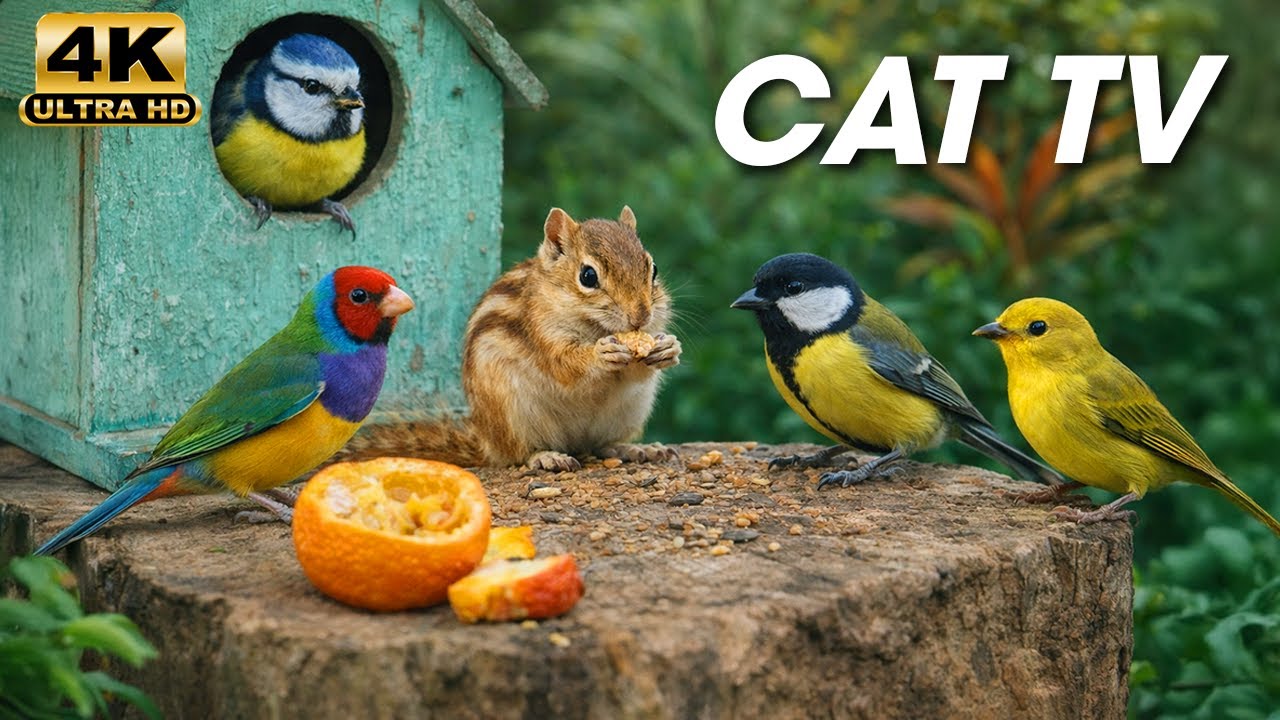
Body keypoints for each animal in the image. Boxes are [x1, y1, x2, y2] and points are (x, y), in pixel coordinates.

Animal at [342, 206, 681, 471]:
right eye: (588, 276)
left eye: (653, 269)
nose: (641, 316)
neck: (597, 328)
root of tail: (487, 440)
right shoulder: (543, 332)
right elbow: (564, 365)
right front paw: (600, 354)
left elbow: (638, 369)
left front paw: (668, 348)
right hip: (514, 415)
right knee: (517, 454)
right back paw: (546, 457)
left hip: (628, 411)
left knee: (600, 445)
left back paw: (636, 449)